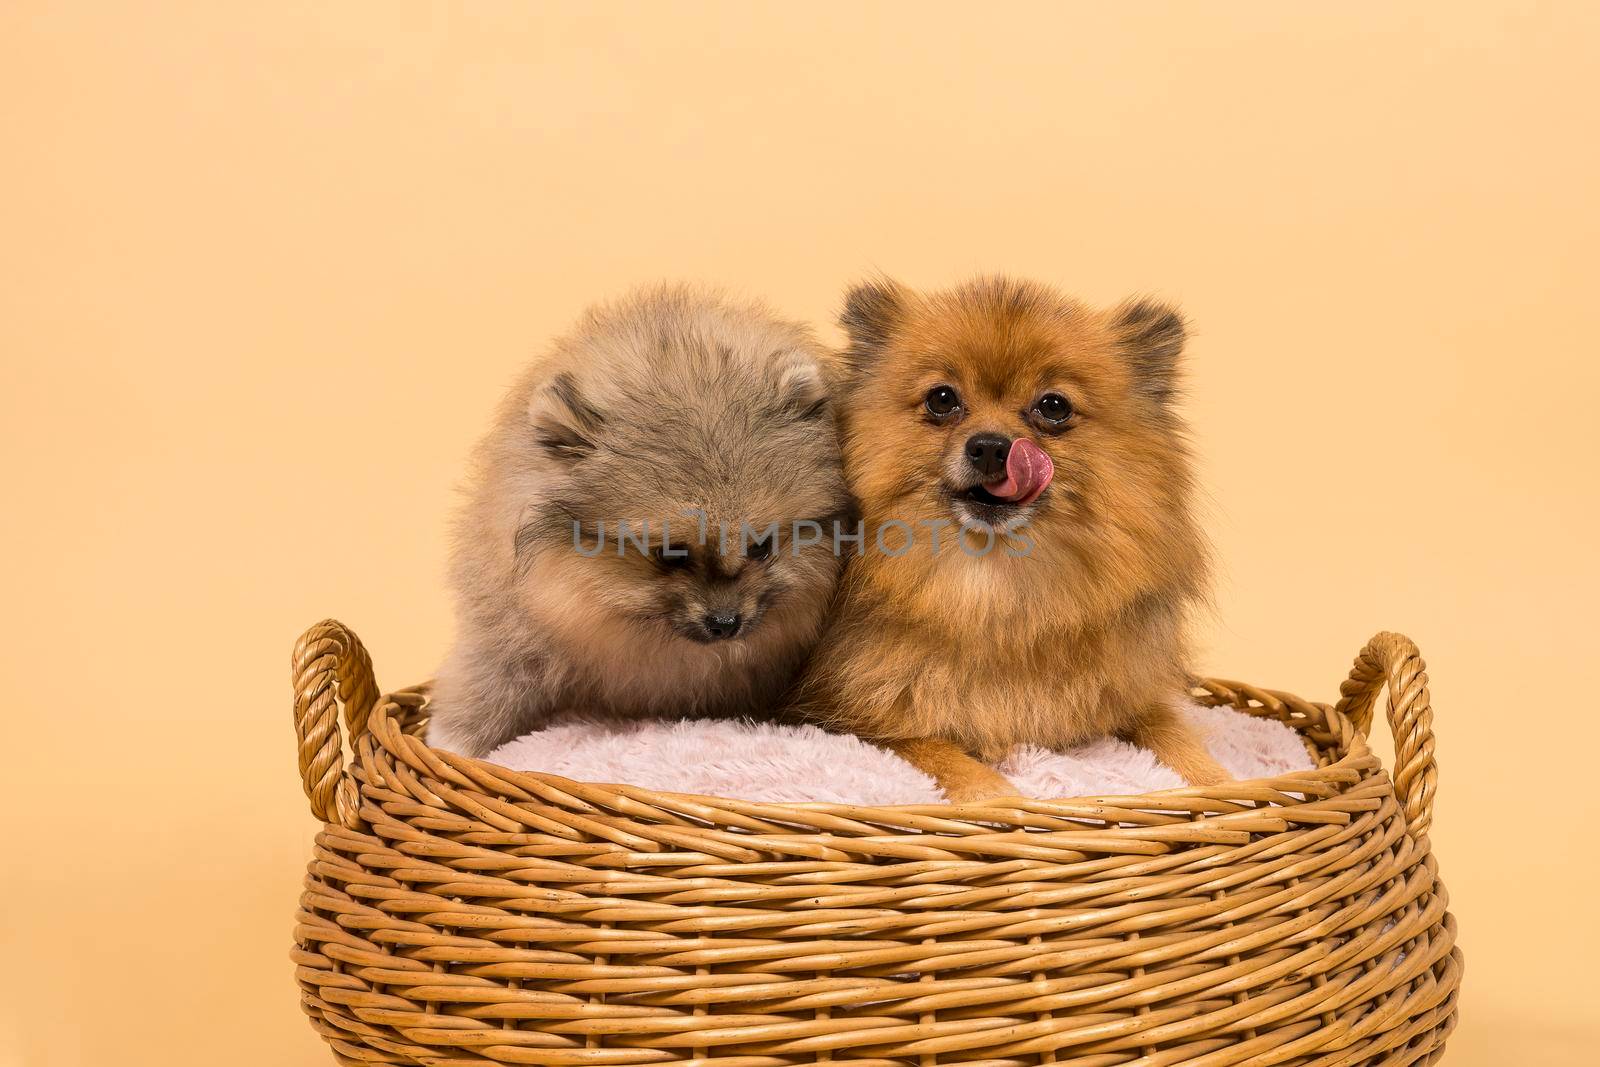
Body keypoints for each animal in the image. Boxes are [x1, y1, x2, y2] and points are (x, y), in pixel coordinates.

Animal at [425, 286, 851, 758]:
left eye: (761, 547)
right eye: (671, 554)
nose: (726, 623)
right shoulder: (512, 629)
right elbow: (490, 680)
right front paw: (451, 745)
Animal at [796, 275, 1222, 799]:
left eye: (1054, 406)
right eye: (942, 399)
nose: (990, 446)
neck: (998, 590)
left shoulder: (1130, 696)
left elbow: (1174, 734)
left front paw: (1224, 786)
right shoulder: (863, 722)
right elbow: (948, 759)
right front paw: (996, 799)